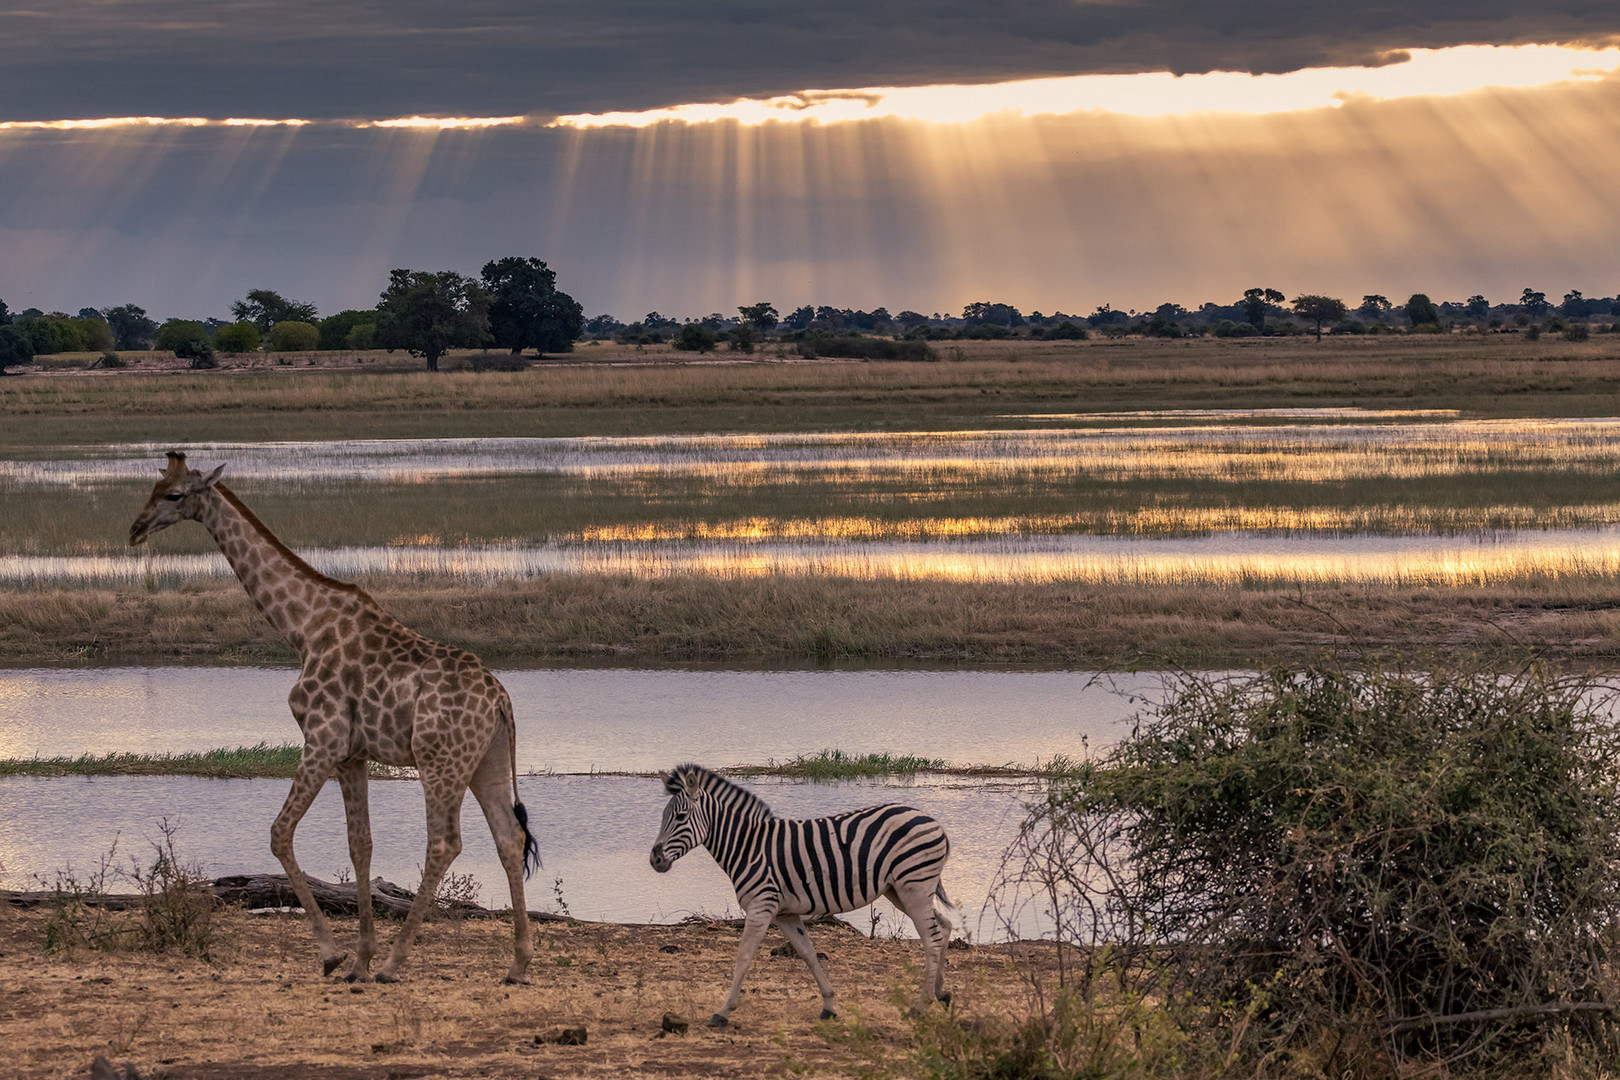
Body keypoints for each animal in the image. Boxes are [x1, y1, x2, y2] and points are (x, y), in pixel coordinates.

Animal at [131, 453, 537, 984]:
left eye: (175, 495)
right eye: (153, 487)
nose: (135, 529)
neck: (302, 628)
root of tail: (501, 699)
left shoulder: (321, 739)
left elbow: (280, 833)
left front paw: (334, 954)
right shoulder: (351, 755)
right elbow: (359, 844)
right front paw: (358, 958)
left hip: (439, 761)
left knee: (445, 842)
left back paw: (395, 963)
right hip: (484, 761)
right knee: (509, 837)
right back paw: (517, 964)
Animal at [644, 764, 952, 1029]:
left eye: (680, 817)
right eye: (662, 817)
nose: (655, 860)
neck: (748, 847)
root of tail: (934, 822)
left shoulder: (761, 906)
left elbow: (743, 957)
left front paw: (723, 1010)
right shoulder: (785, 913)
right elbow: (808, 954)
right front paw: (828, 1006)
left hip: (914, 887)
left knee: (932, 938)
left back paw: (920, 1006)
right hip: (900, 890)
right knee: (945, 926)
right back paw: (941, 994)